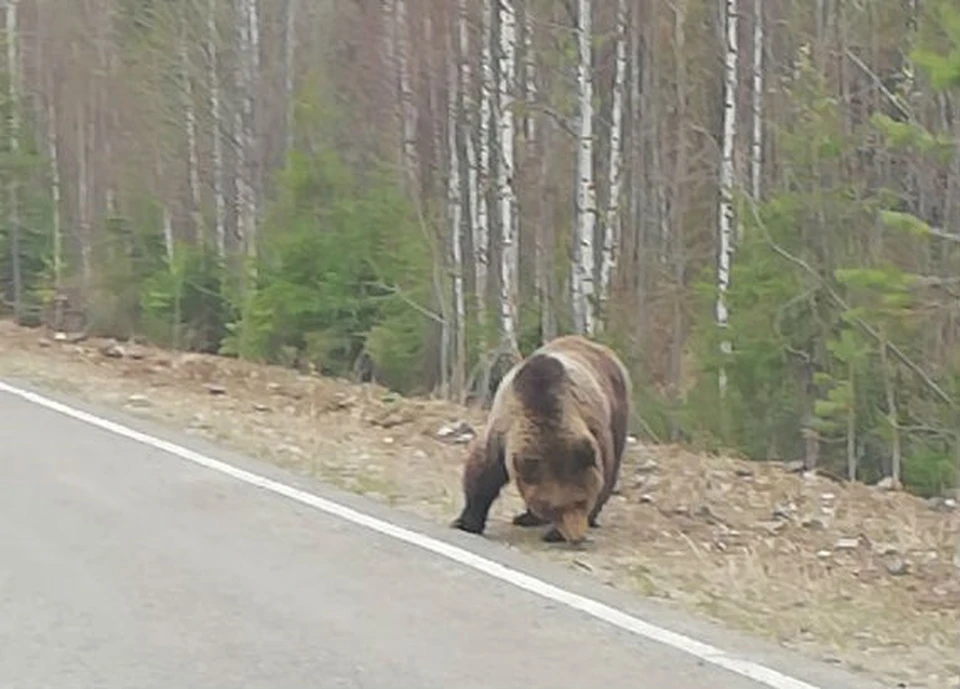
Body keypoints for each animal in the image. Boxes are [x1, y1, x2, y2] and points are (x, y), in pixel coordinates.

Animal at [454, 334, 632, 544]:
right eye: (554, 508)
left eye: (582, 500)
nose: (576, 537)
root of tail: (595, 344)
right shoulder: (502, 432)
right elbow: (483, 472)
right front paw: (466, 521)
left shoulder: (594, 431)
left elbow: (604, 475)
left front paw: (556, 532)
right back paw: (526, 518)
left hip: (618, 409)